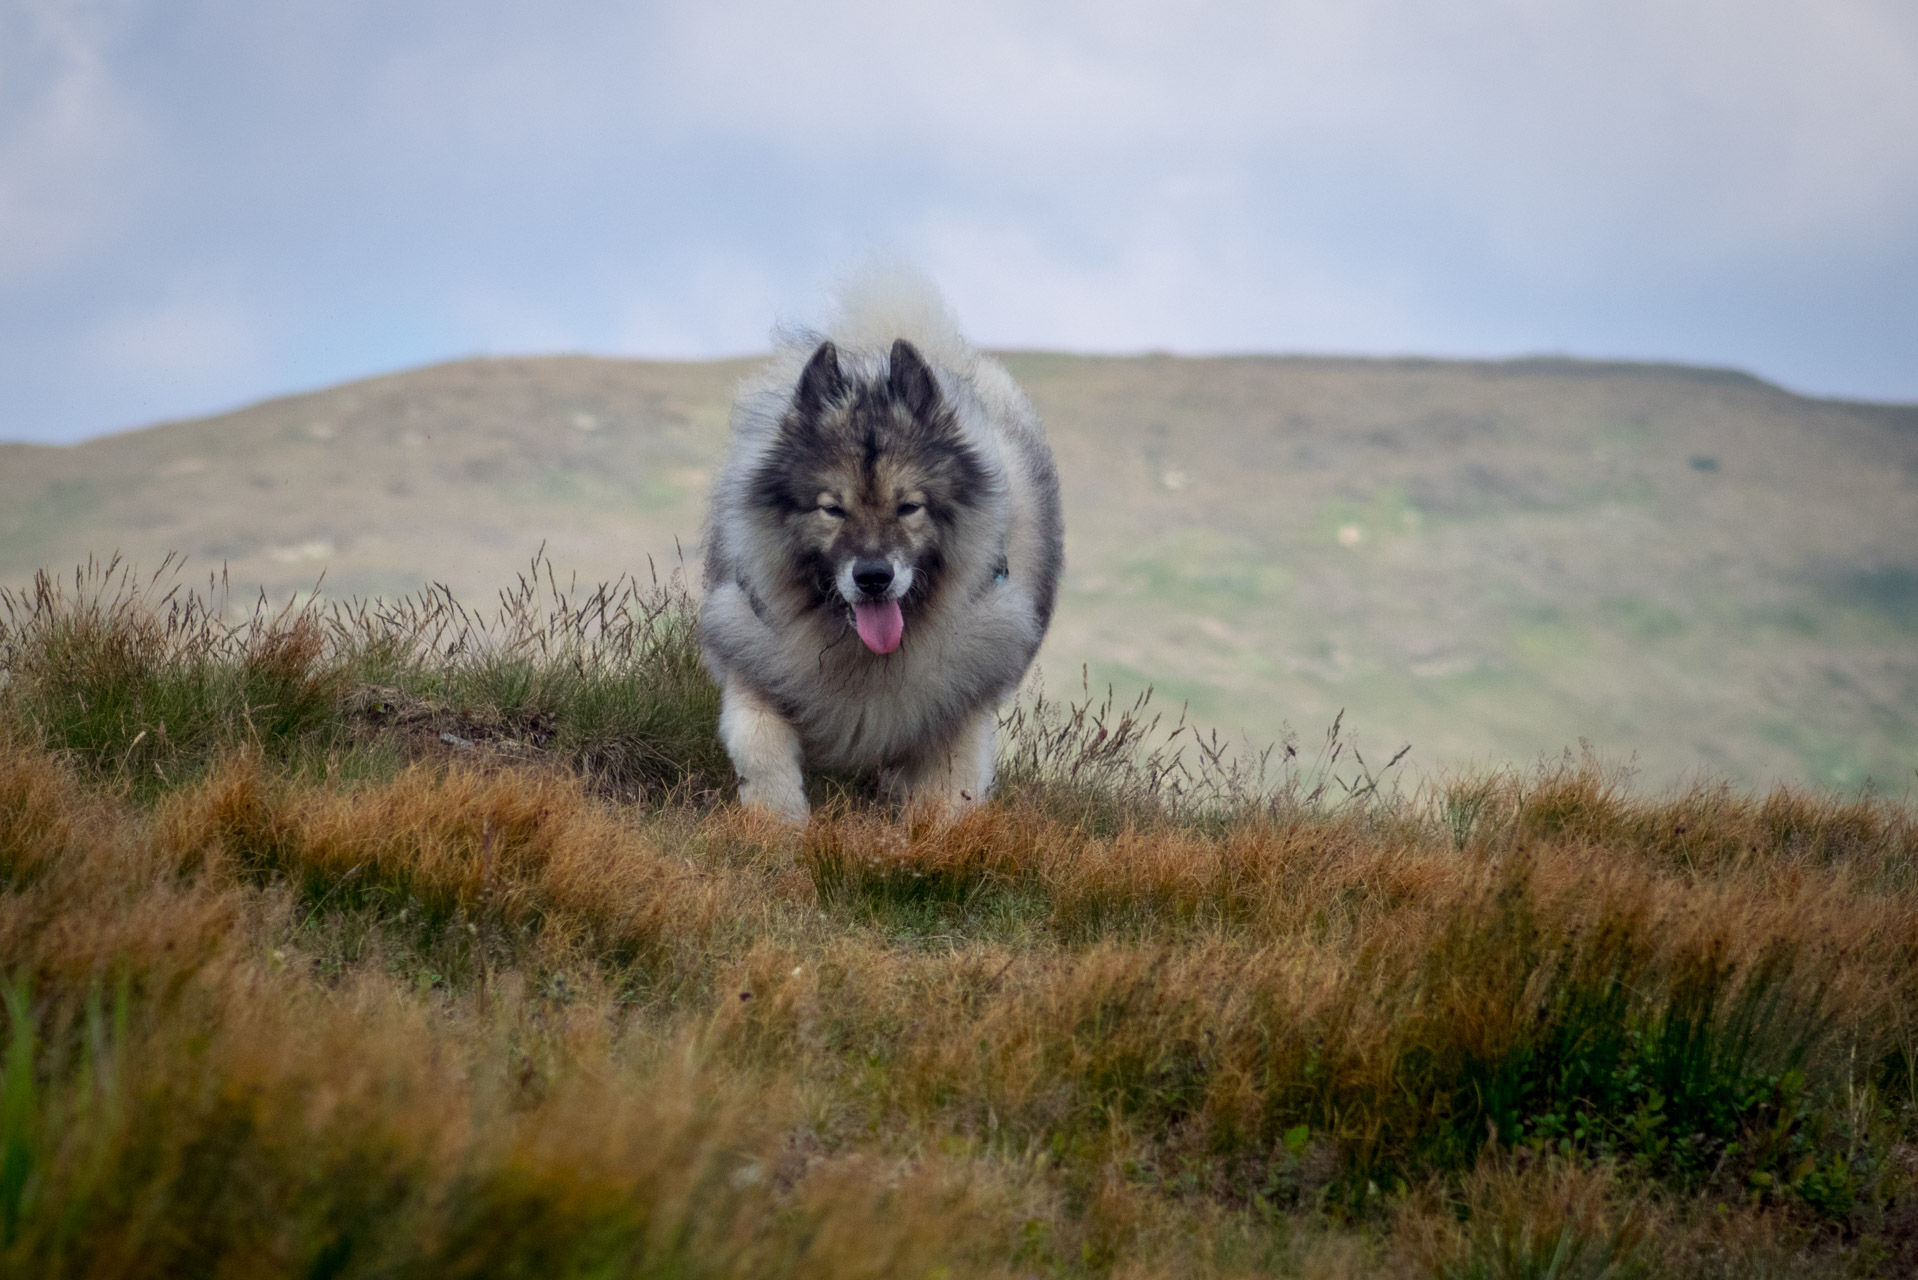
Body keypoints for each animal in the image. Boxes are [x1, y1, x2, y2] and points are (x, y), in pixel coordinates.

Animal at [701, 272, 1066, 821]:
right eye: (833, 509)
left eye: (909, 507)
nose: (873, 577)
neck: (863, 656)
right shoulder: (753, 651)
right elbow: (758, 743)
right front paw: (778, 822)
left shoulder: (959, 704)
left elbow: (948, 797)